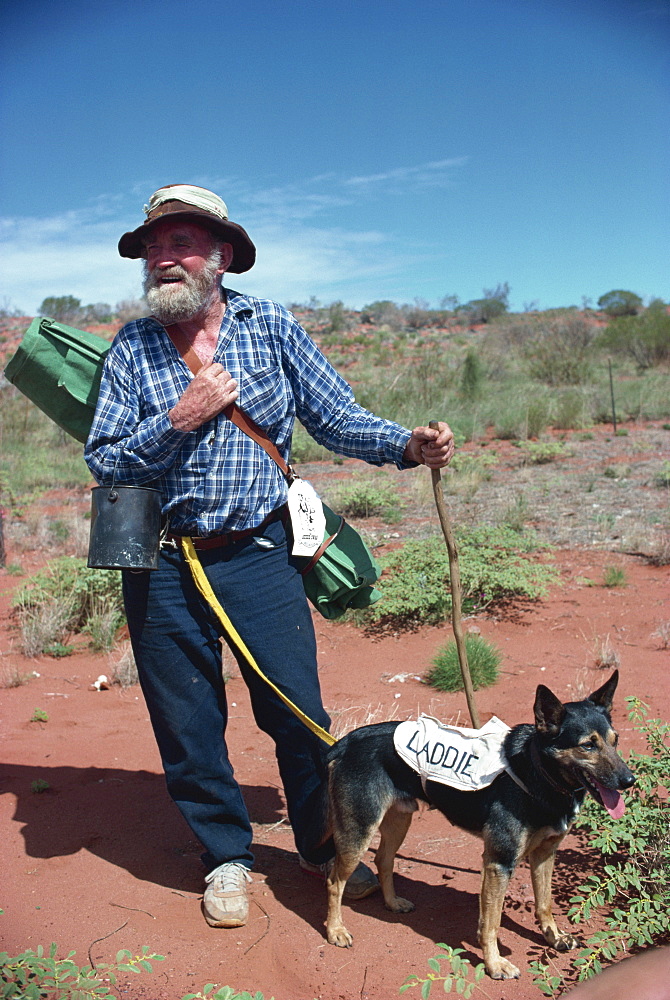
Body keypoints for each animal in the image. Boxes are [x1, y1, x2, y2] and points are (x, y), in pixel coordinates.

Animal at [318, 672, 636, 976]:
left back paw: (393, 903)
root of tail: (345, 742)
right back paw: (335, 930)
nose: (629, 780)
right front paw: (495, 964)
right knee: (334, 881)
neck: (537, 771)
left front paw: (553, 937)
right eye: (587, 745)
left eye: (616, 740)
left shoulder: (545, 853)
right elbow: (491, 923)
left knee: (383, 860)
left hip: (398, 820)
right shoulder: (499, 863)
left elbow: (544, 903)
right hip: (359, 830)